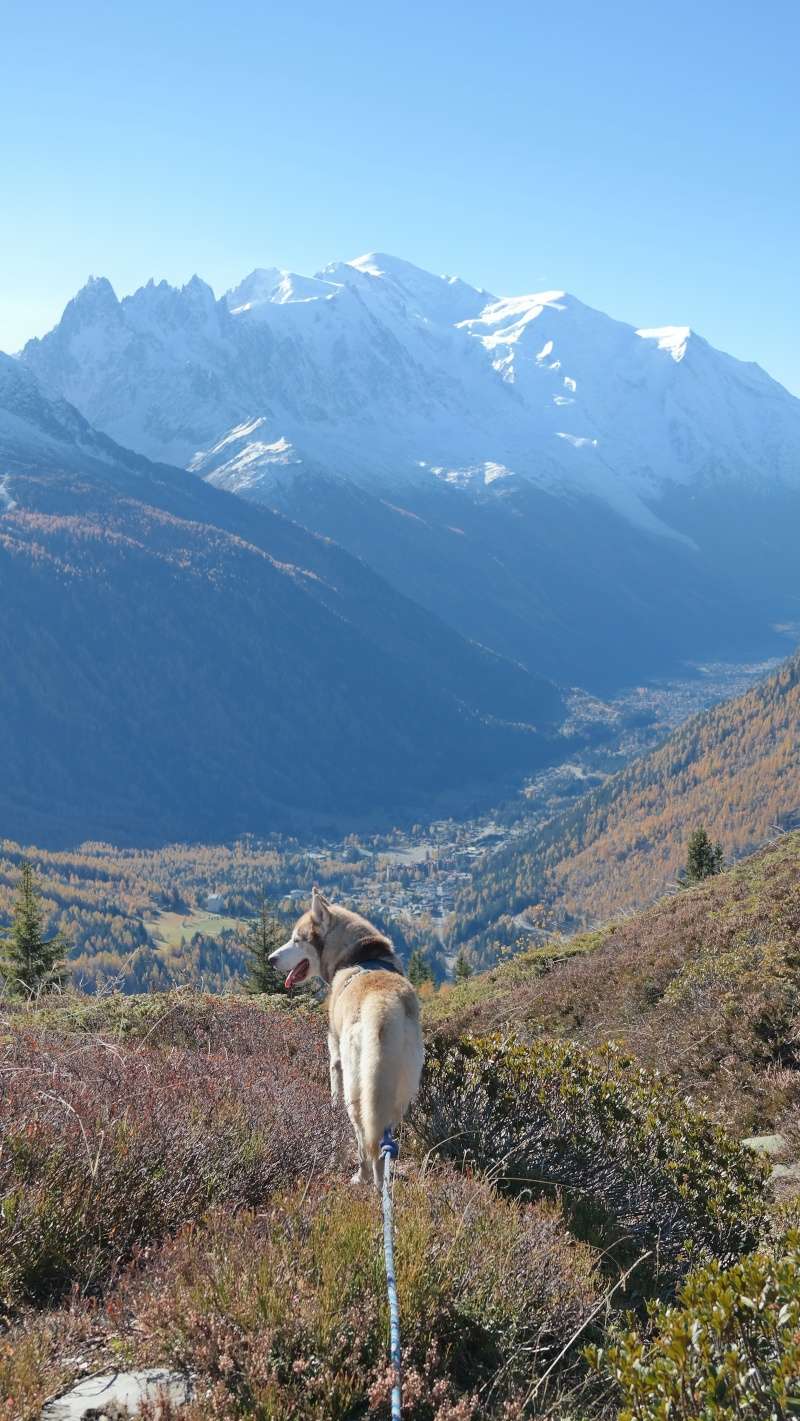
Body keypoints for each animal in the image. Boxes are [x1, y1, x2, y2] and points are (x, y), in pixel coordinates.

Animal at [268, 886, 426, 1187]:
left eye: (297, 939)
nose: (270, 959)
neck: (358, 956)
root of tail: (382, 1005)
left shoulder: (335, 1059)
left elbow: (333, 1099)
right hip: (400, 1091)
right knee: (382, 1135)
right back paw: (381, 1179)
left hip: (356, 1085)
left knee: (364, 1138)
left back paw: (361, 1176)